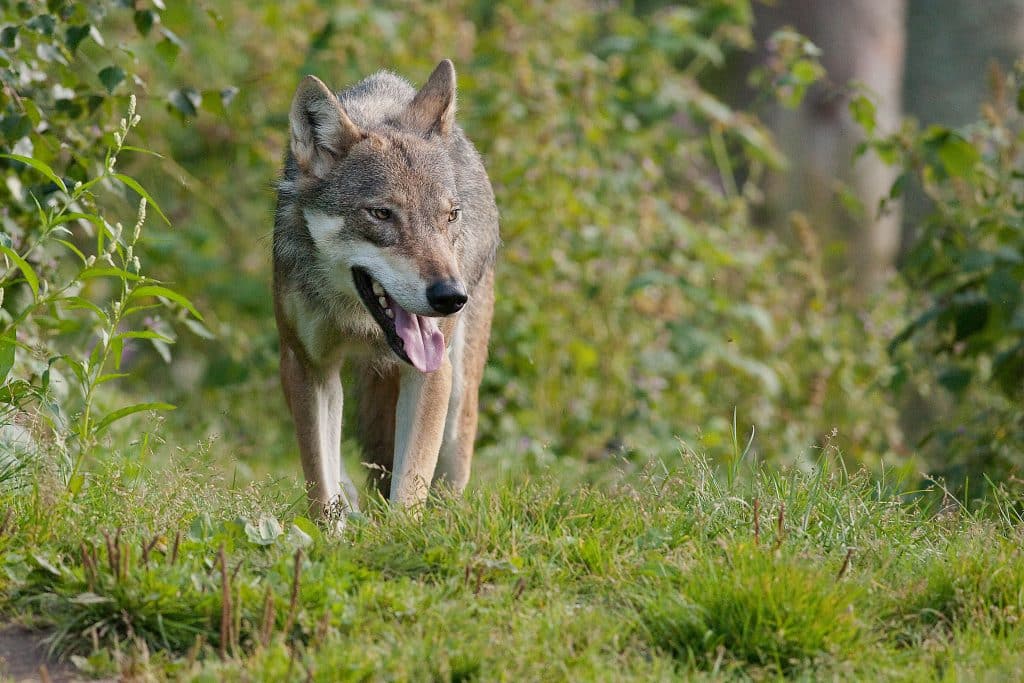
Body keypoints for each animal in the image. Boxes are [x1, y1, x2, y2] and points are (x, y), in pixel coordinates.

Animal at [272, 60, 499, 522]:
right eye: (381, 214)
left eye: (451, 215)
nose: (450, 297)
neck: (359, 322)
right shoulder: (308, 368)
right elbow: (320, 484)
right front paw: (330, 532)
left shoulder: (430, 372)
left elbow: (409, 487)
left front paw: (400, 533)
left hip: (459, 404)